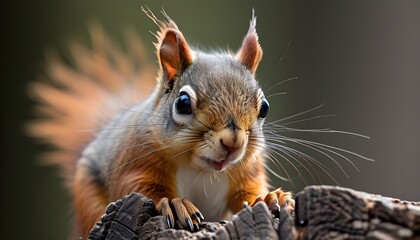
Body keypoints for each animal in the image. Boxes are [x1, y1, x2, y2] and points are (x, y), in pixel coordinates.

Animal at [27, 9, 294, 238]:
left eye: (264, 107)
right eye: (183, 103)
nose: (233, 142)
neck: (201, 170)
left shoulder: (246, 171)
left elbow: (246, 194)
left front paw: (269, 199)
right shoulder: (135, 159)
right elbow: (138, 187)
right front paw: (176, 204)